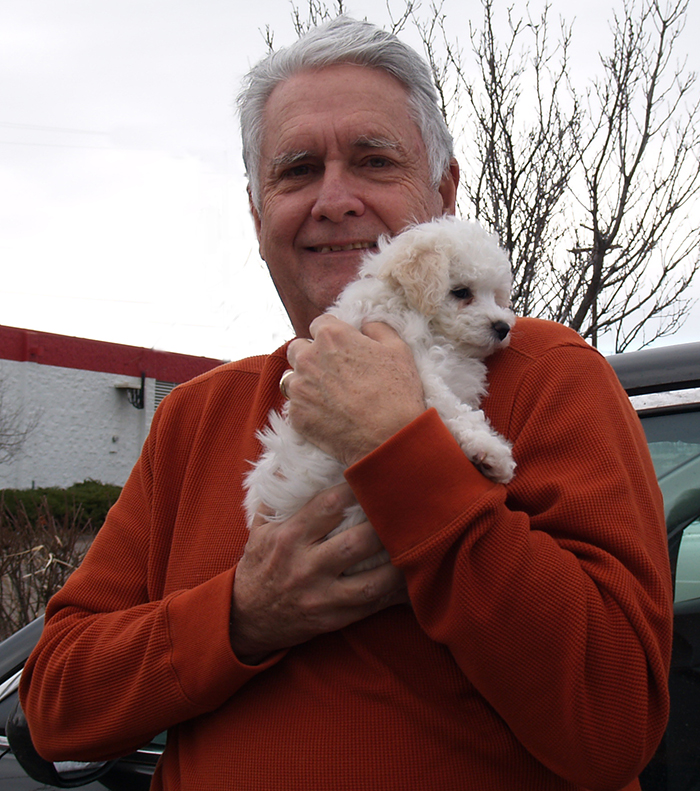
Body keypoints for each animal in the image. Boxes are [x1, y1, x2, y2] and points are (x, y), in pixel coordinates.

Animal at [245, 217, 516, 568]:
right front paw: (490, 450)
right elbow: (447, 406)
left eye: (495, 296)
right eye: (461, 293)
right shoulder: (416, 363)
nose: (502, 327)